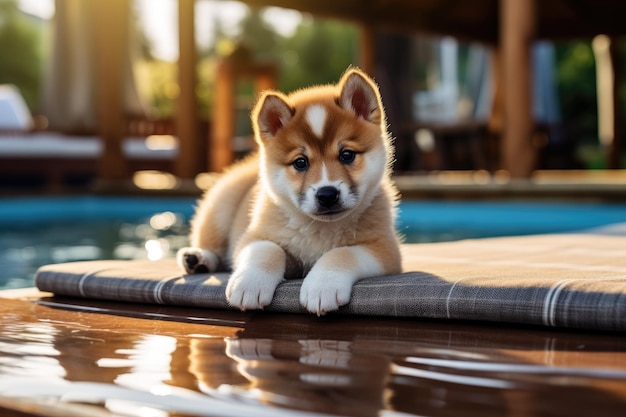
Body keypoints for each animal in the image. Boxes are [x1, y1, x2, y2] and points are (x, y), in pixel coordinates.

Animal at [177, 68, 400, 314]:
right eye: (300, 163)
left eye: (347, 155)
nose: (327, 194)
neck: (321, 231)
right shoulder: (254, 237)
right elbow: (267, 250)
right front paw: (251, 282)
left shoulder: (384, 249)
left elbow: (342, 252)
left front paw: (323, 284)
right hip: (220, 208)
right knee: (210, 243)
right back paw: (197, 258)